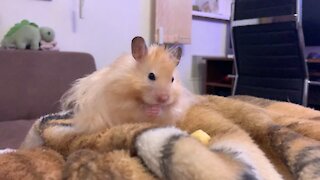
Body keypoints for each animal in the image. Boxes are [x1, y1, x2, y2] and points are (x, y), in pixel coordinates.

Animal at [60, 36, 198, 133]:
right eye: (151, 76)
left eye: (172, 79)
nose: (164, 98)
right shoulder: (122, 103)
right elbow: (137, 108)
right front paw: (151, 109)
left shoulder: (173, 110)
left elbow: (165, 110)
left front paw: (158, 109)